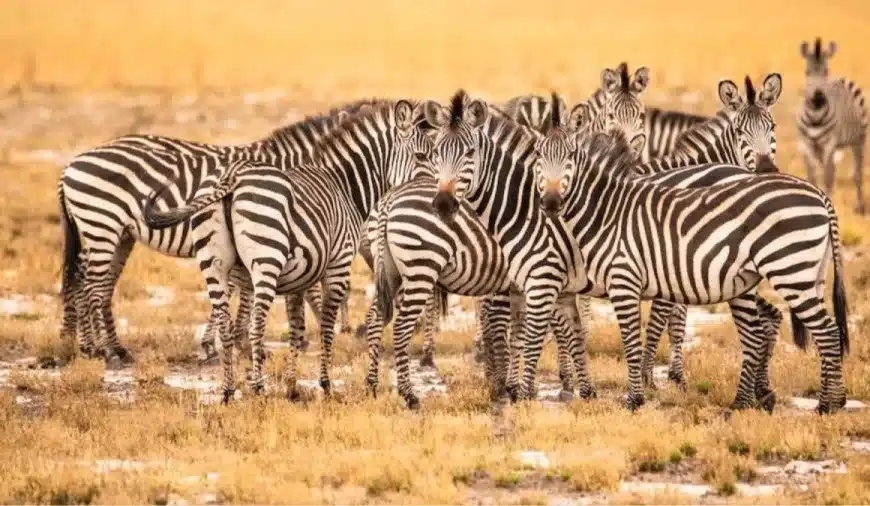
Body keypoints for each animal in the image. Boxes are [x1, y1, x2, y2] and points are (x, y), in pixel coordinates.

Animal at [57, 100, 378, 368]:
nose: (353, 329)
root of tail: (72, 163)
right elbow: (274, 290)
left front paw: (222, 342)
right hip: (102, 224)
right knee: (90, 282)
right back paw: (103, 350)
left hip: (118, 233)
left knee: (88, 279)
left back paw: (93, 345)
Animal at [141, 100, 436, 404]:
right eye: (422, 155)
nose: (437, 197)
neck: (343, 186)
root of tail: (234, 174)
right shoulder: (338, 266)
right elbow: (325, 326)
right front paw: (325, 385)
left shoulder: (300, 278)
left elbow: (297, 329)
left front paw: (293, 387)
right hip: (266, 259)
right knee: (256, 325)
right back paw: (257, 388)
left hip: (214, 265)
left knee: (225, 324)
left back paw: (228, 391)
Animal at [540, 129, 852, 416]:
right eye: (540, 161)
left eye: (570, 157)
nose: (551, 202)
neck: (608, 212)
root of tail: (819, 194)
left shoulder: (623, 279)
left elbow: (629, 342)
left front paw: (633, 401)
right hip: (806, 275)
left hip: (790, 270)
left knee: (827, 332)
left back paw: (828, 404)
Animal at [800, 36, 868, 214]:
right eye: (807, 72)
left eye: (825, 71)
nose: (818, 99)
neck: (815, 118)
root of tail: (840, 79)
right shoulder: (806, 146)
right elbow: (812, 177)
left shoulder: (829, 146)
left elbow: (827, 178)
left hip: (858, 140)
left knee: (857, 174)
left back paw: (860, 207)